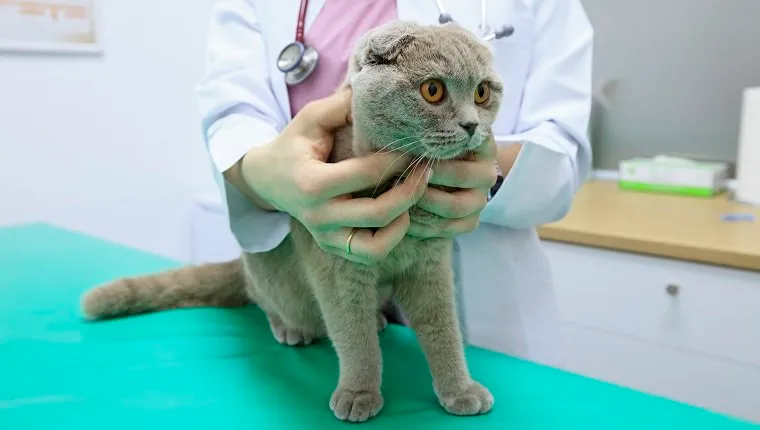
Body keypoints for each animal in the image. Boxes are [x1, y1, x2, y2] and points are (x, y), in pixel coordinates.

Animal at [80, 21, 502, 424]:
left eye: (482, 93)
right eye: (433, 90)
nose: (471, 125)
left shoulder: (430, 264)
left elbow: (442, 328)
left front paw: (460, 390)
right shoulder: (338, 268)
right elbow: (353, 335)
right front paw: (359, 393)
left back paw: (379, 320)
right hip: (264, 271)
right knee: (265, 299)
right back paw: (290, 328)